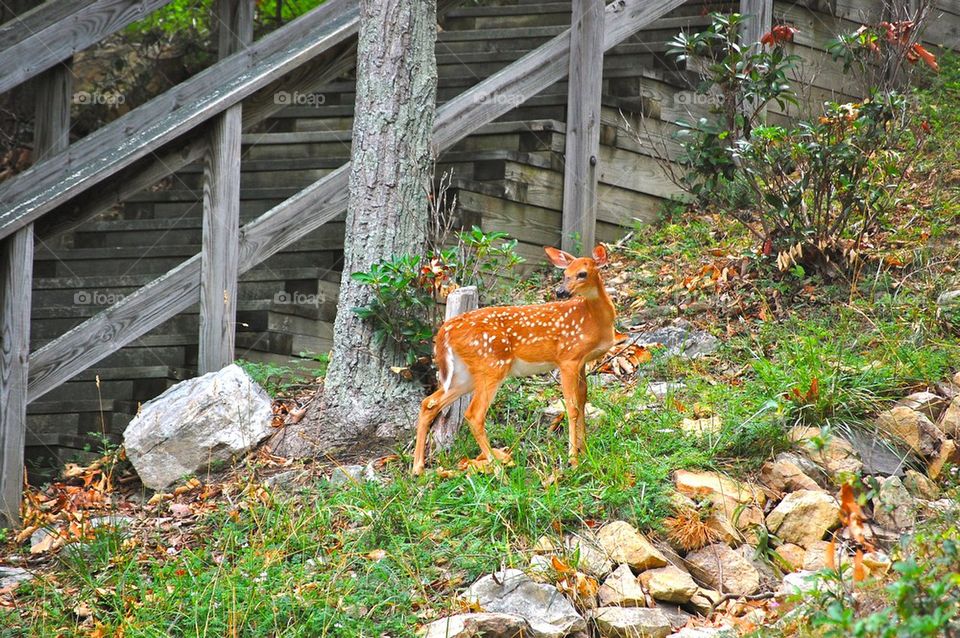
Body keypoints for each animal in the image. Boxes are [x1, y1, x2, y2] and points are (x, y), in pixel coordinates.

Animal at [412, 245, 624, 476]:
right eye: (565, 273)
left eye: (582, 273)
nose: (560, 292)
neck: (594, 321)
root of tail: (445, 330)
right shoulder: (567, 358)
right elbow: (572, 408)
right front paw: (573, 461)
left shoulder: (583, 361)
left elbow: (583, 400)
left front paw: (585, 452)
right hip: (491, 365)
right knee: (474, 415)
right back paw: (498, 470)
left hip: (464, 374)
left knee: (429, 403)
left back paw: (417, 468)